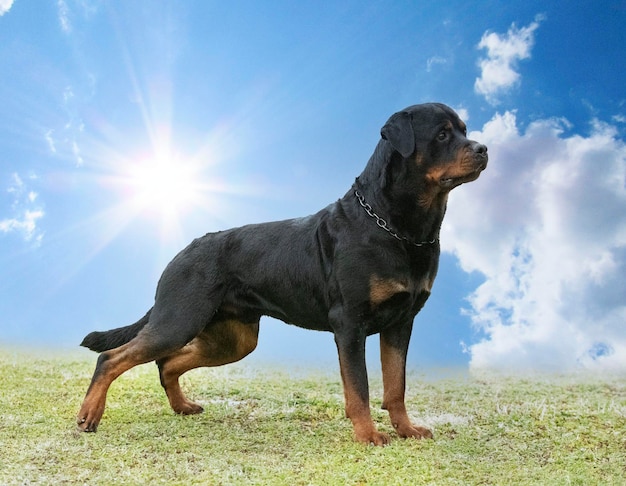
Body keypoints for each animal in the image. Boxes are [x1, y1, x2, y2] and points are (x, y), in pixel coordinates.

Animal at [78, 102, 486, 444]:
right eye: (442, 135)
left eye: (464, 130)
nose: (483, 149)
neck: (396, 225)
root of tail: (182, 252)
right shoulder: (350, 324)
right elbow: (361, 388)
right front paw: (369, 435)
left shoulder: (401, 322)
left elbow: (395, 385)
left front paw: (406, 429)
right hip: (179, 318)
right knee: (112, 358)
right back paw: (89, 416)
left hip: (233, 339)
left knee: (167, 362)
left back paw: (182, 406)